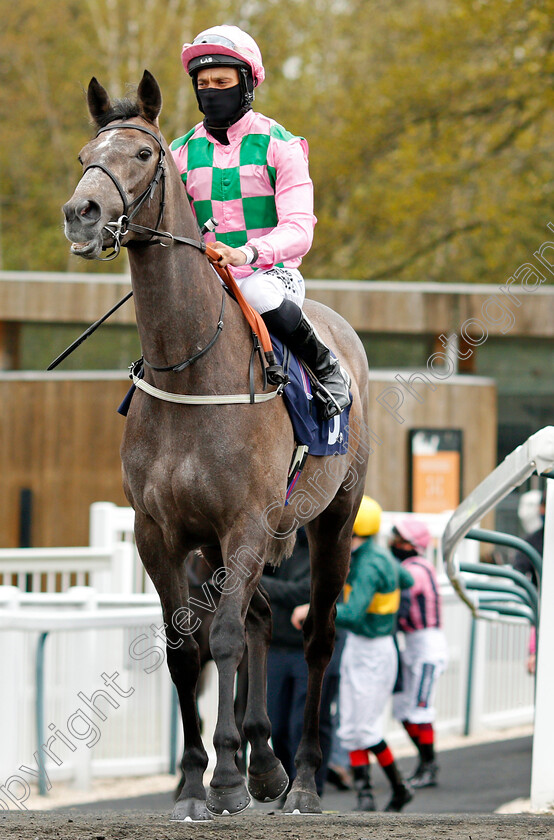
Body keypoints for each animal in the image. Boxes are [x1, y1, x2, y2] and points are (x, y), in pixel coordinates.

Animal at [62, 70, 368, 820]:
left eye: (142, 154)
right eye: (85, 152)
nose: (82, 212)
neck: (191, 366)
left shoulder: (245, 522)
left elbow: (223, 638)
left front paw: (226, 778)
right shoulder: (163, 531)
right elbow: (185, 648)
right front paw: (197, 780)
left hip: (332, 521)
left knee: (316, 639)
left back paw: (303, 779)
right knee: (259, 615)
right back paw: (266, 763)